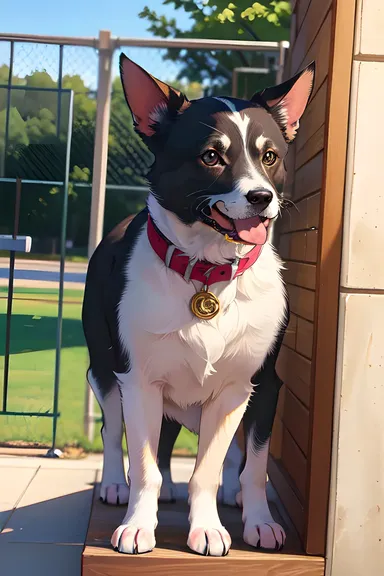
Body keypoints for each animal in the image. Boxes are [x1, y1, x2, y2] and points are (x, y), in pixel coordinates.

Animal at [82, 55, 314, 560]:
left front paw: (227, 524)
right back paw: (114, 485)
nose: (262, 198)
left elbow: (234, 465)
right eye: (212, 156)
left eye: (269, 156)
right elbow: (143, 462)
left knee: (210, 449)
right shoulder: (140, 380)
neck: (208, 274)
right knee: (113, 431)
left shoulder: (249, 386)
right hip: (107, 371)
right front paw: (138, 524)